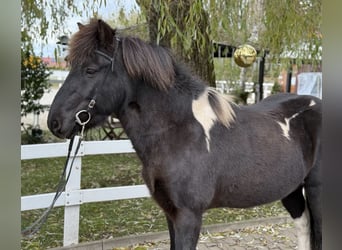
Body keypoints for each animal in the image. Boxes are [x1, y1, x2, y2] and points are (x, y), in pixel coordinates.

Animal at [47, 18, 320, 249]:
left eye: (90, 70)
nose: (55, 122)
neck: (180, 132)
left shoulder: (189, 217)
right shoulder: (171, 213)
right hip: (290, 189)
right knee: (304, 228)